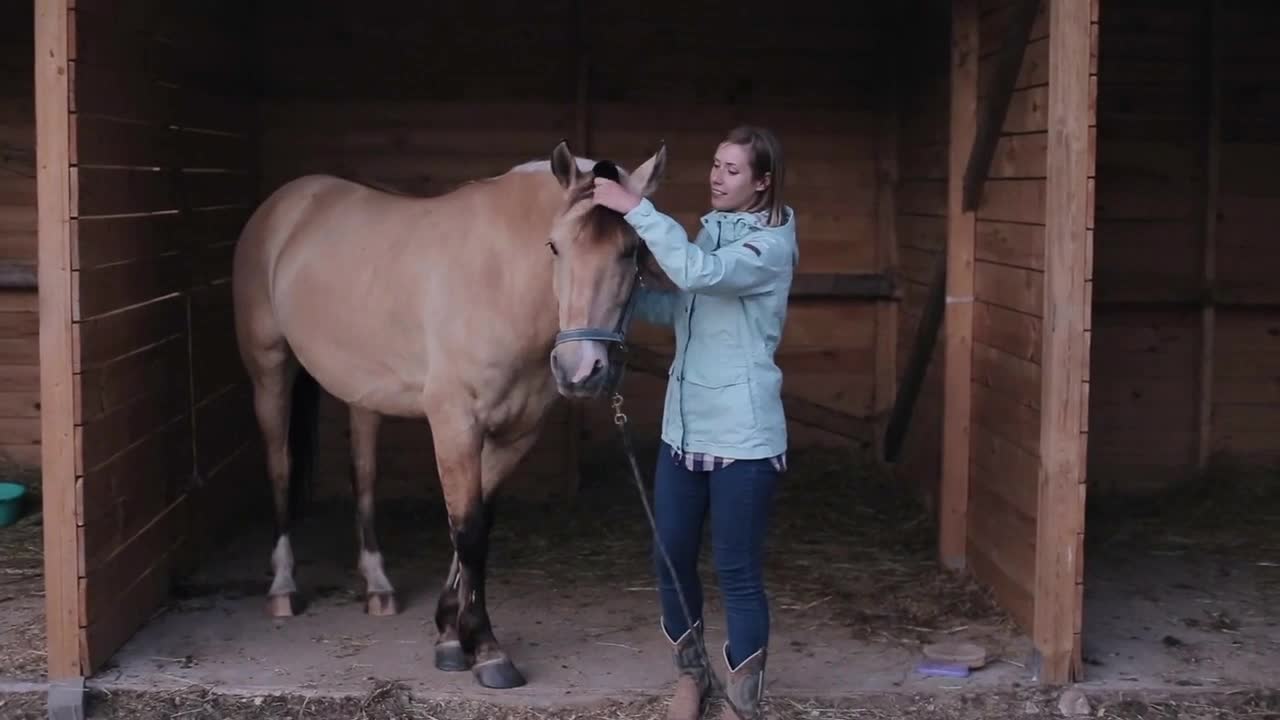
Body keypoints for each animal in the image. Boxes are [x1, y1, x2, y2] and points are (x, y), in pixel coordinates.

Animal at [232, 139, 670, 681]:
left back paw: (378, 586)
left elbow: (476, 525)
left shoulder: (515, 434)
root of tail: (287, 203)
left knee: (363, 475)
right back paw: (283, 588)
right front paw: (484, 648)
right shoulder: (455, 426)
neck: (500, 280)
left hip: (361, 394)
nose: (579, 370)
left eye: (633, 251)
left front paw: (448, 631)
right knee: (280, 469)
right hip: (269, 370)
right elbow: (468, 531)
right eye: (554, 247)